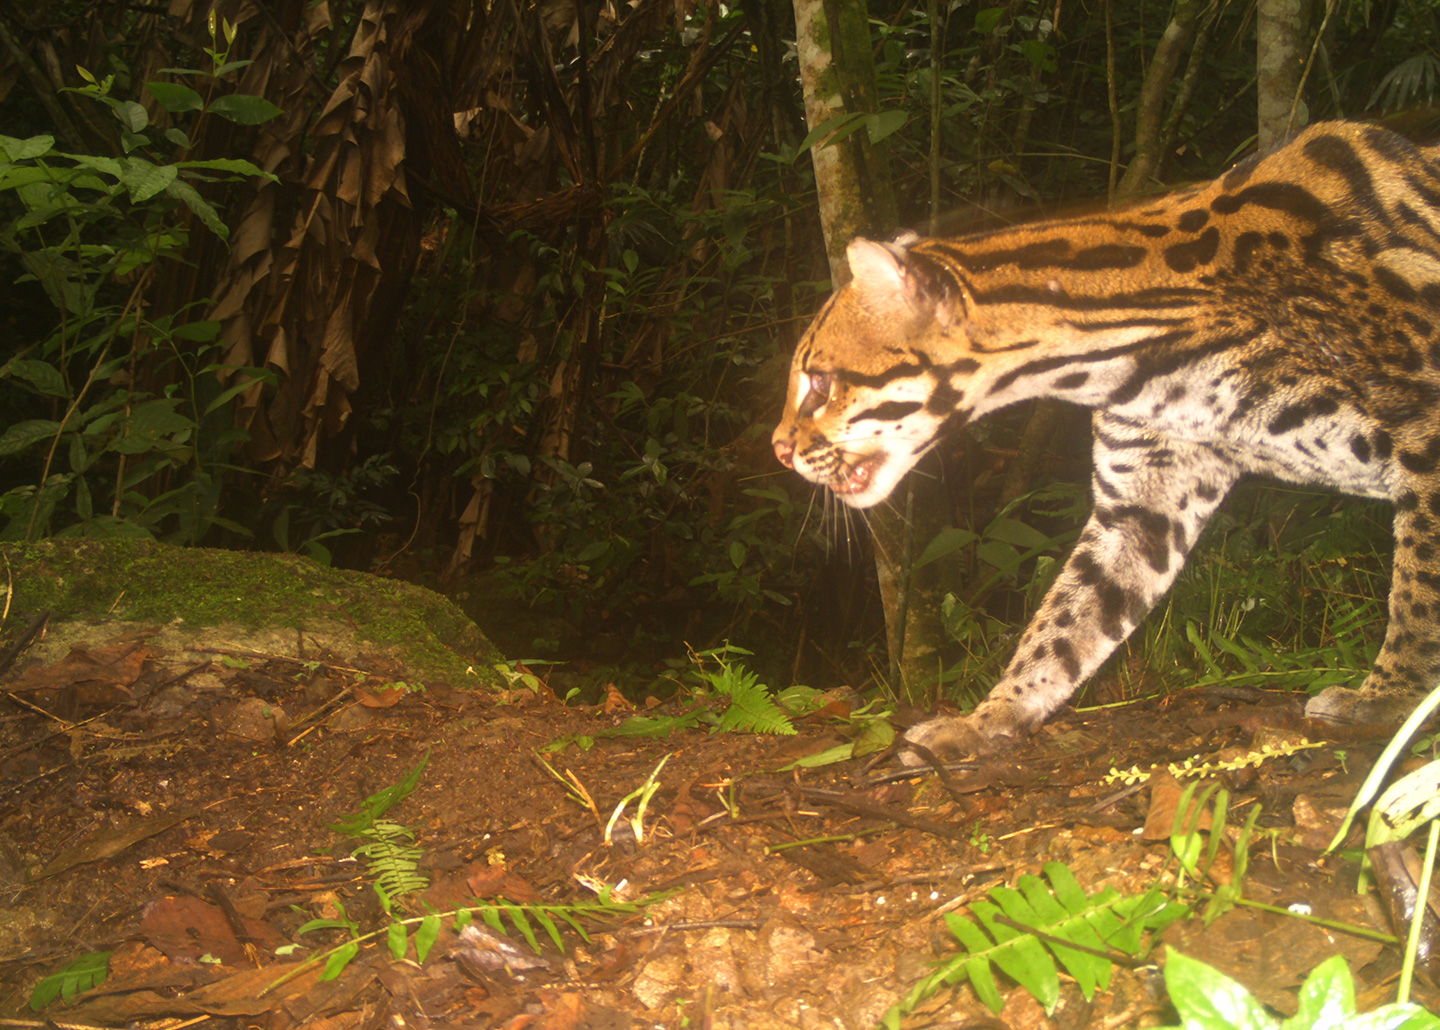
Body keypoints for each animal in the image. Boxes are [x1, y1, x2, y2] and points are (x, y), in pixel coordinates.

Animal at [771, 121, 1440, 754]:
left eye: (819, 383)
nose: (778, 449)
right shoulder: (1143, 500)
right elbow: (1068, 619)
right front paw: (988, 718)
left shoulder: (1426, 428)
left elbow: (1419, 589)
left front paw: (1391, 699)